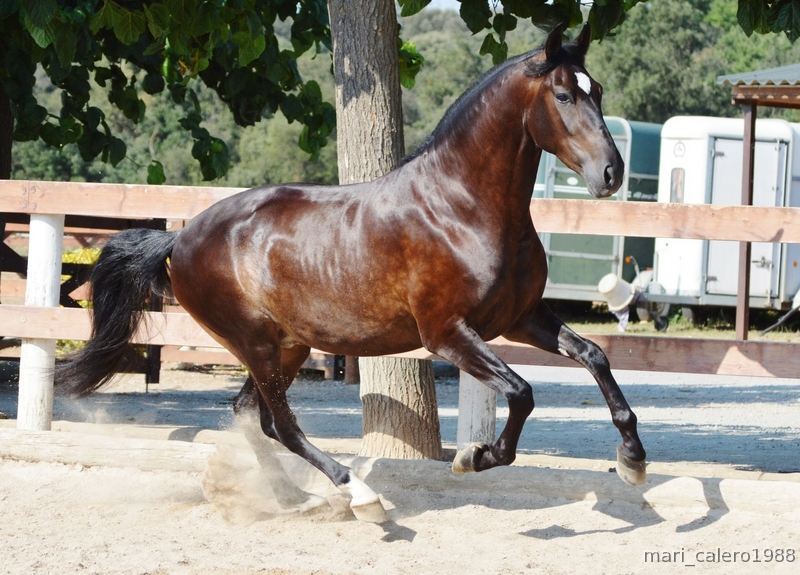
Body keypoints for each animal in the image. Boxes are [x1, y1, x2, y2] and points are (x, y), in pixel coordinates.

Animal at [56, 25, 646, 524]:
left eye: (598, 91)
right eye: (564, 96)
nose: (611, 173)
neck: (462, 207)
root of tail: (180, 238)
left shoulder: (521, 319)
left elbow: (594, 356)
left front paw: (633, 459)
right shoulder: (448, 334)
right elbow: (522, 392)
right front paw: (474, 457)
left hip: (286, 345)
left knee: (252, 415)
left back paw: (295, 499)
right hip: (256, 342)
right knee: (281, 423)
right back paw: (359, 495)